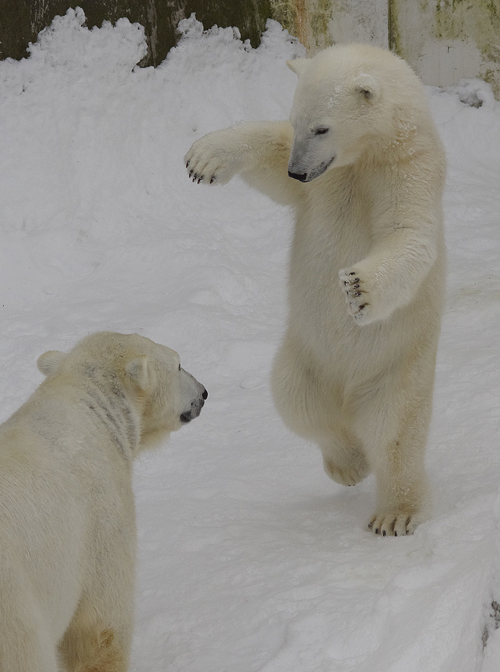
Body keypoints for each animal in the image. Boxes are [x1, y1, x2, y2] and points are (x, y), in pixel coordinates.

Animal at [187, 43, 446, 536]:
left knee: (394, 432)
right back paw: (348, 462)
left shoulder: (408, 171)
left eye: (322, 126)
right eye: (297, 120)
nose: (299, 171)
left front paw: (358, 289)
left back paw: (395, 512)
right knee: (299, 404)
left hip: (400, 367)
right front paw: (205, 158)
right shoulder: (322, 186)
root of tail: (348, 397)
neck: (366, 157)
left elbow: (410, 234)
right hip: (304, 360)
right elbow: (271, 157)